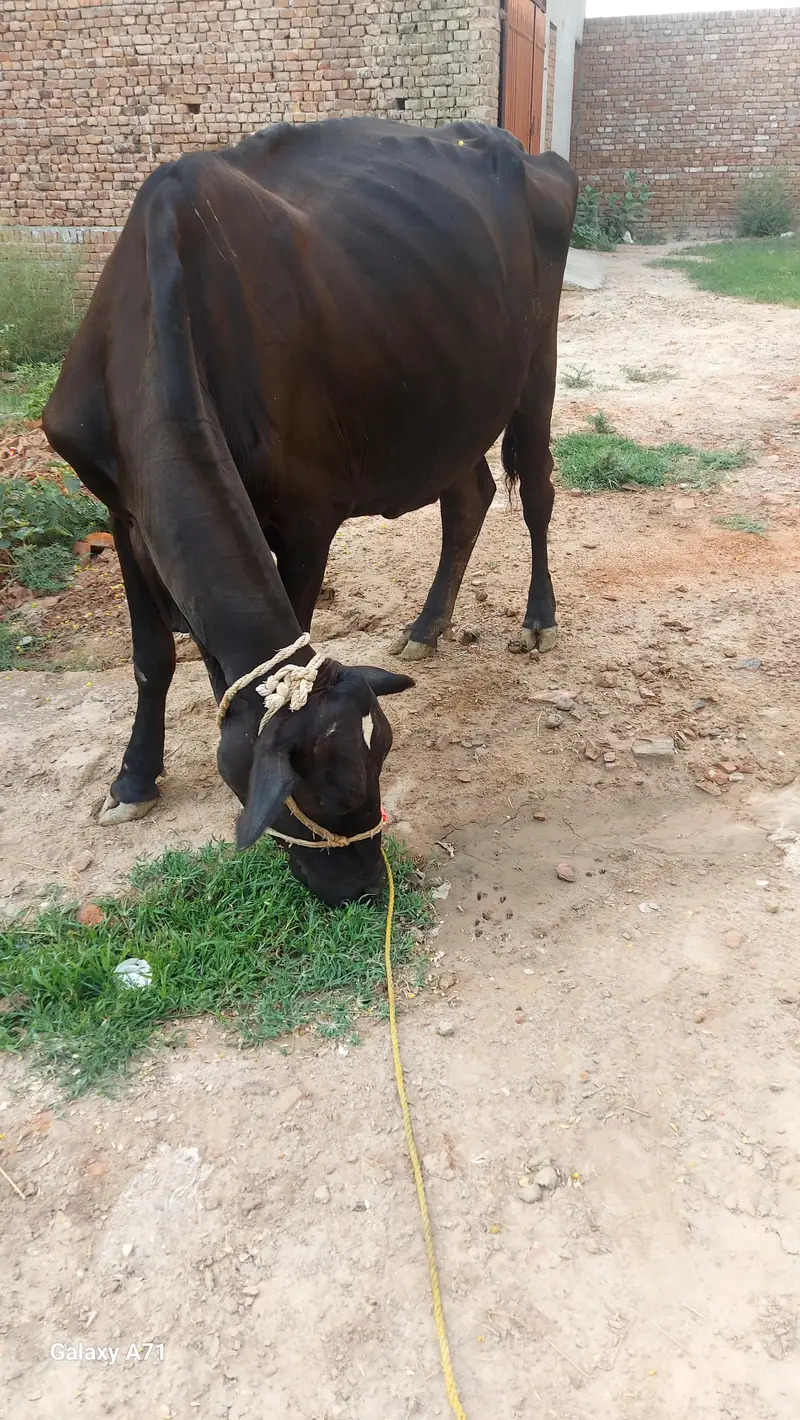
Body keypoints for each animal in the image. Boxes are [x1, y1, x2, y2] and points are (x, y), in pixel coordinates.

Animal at [43, 118, 577, 906]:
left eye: (381, 761)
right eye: (326, 793)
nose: (365, 886)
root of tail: (518, 148)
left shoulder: (304, 512)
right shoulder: (121, 510)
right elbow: (151, 658)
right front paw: (134, 780)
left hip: (536, 364)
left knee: (535, 491)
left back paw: (539, 617)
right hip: (449, 400)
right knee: (469, 498)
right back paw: (426, 627)